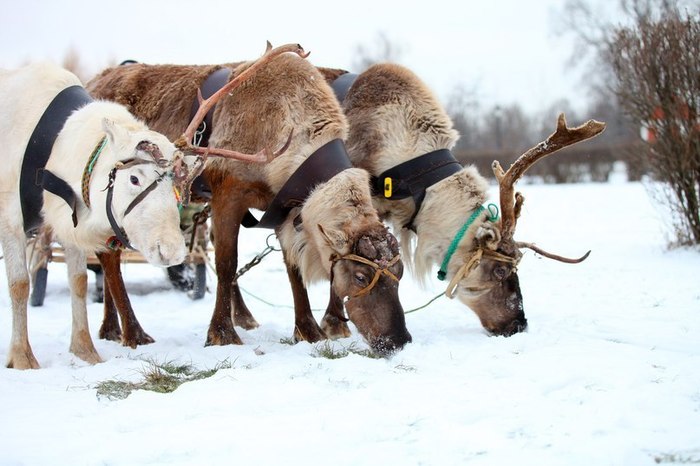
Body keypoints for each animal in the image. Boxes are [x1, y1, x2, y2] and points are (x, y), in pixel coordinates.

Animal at [85, 43, 412, 355]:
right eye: (360, 276)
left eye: (399, 273)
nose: (398, 340)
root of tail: (91, 81)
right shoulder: (227, 193)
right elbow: (227, 263)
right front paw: (221, 333)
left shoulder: (282, 208)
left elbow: (293, 269)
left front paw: (308, 331)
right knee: (109, 256)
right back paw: (129, 332)